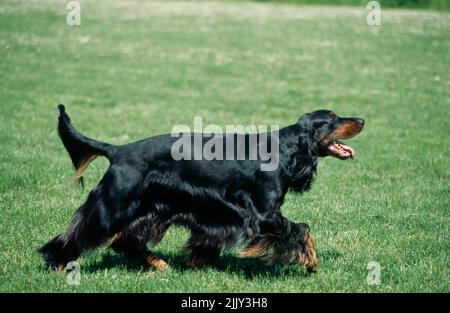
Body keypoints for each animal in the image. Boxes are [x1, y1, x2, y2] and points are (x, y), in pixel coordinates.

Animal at [38, 105, 362, 270]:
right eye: (333, 118)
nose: (361, 119)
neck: (284, 150)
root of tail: (118, 151)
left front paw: (199, 261)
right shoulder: (263, 215)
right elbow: (302, 230)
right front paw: (312, 263)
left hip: (149, 209)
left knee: (125, 242)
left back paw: (160, 265)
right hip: (114, 205)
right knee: (81, 235)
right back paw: (57, 264)